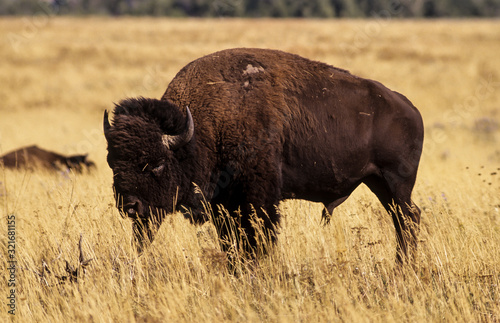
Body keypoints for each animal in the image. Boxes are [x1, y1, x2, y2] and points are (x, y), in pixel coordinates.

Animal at [103, 48, 424, 266]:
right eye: (112, 163)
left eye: (157, 164)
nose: (130, 205)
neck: (203, 128)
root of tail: (409, 108)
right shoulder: (224, 204)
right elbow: (230, 241)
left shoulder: (258, 196)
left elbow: (259, 237)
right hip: (378, 182)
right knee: (402, 219)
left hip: (396, 181)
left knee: (408, 219)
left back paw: (403, 265)